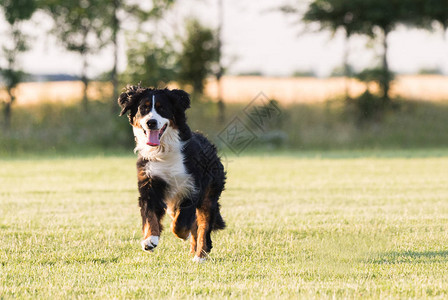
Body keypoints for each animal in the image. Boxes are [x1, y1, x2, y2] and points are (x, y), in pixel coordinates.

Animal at [118, 85, 226, 262]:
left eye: (162, 108)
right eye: (143, 108)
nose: (151, 122)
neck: (163, 151)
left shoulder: (191, 187)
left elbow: (181, 223)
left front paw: (184, 234)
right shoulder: (150, 185)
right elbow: (150, 216)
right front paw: (150, 240)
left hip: (209, 196)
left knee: (203, 225)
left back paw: (200, 255)